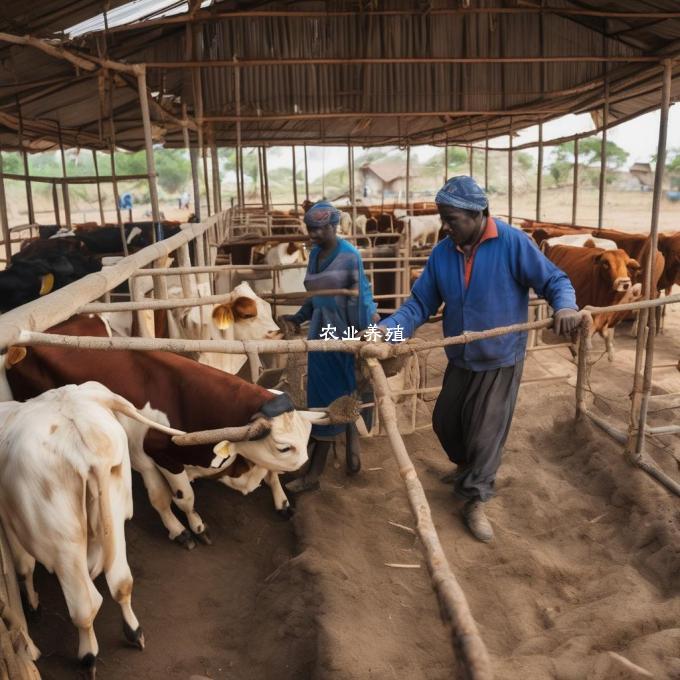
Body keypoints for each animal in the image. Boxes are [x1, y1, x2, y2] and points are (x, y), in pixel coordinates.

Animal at [0, 382, 183, 676]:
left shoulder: (10, 525)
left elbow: (23, 566)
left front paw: (33, 603)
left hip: (64, 545)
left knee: (85, 607)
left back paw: (88, 657)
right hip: (115, 517)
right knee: (121, 583)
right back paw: (134, 632)